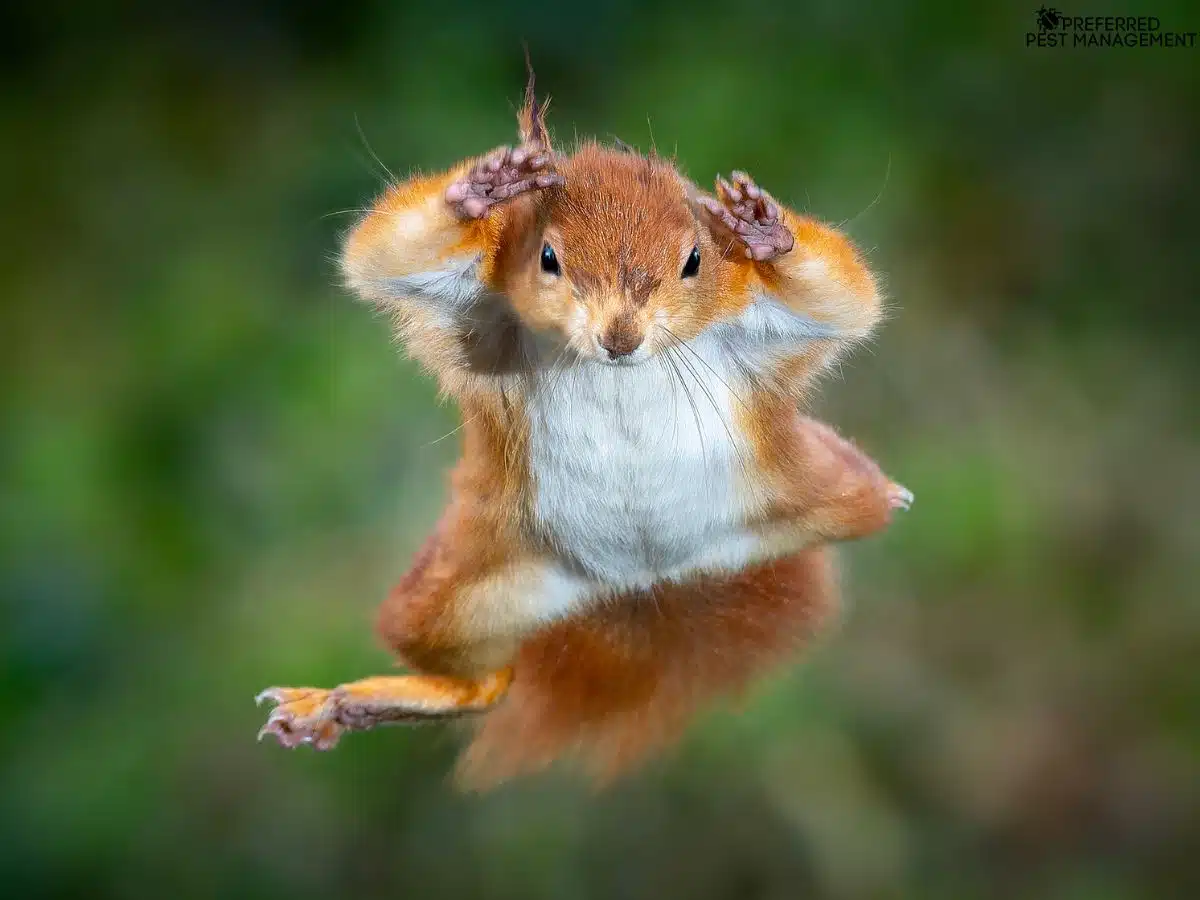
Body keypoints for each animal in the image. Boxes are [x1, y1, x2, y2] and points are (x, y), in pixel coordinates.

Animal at [256, 66, 913, 789]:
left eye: (694, 261)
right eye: (548, 256)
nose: (619, 338)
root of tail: (640, 582)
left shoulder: (754, 324)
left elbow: (842, 298)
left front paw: (764, 229)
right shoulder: (480, 311)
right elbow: (385, 252)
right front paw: (481, 190)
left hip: (801, 492)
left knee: (857, 501)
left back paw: (889, 493)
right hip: (465, 590)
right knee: (483, 683)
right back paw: (340, 704)